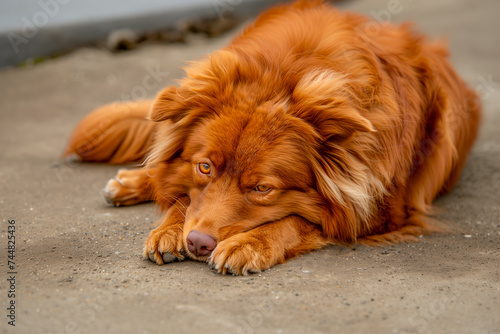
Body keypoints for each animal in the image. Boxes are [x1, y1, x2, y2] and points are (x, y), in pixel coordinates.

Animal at [63, 1, 480, 276]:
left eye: (262, 189)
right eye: (204, 167)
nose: (198, 242)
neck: (284, 76)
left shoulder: (379, 212)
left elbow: (298, 221)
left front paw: (250, 244)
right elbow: (183, 193)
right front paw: (169, 228)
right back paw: (131, 182)